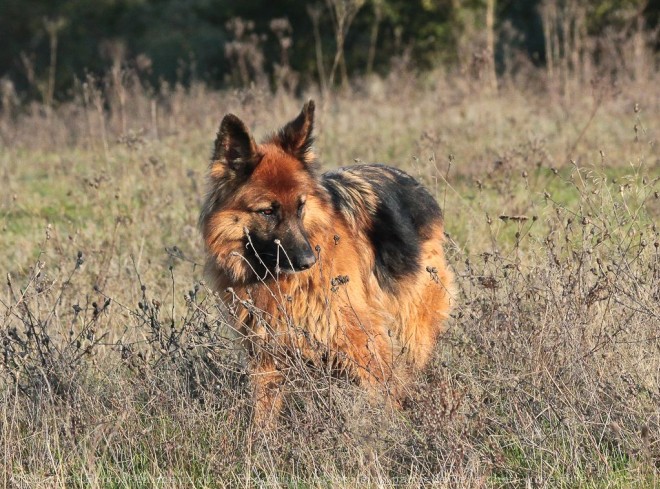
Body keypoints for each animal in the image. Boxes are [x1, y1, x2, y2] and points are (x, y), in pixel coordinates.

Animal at [199, 101, 452, 426]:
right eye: (267, 211)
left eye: (301, 206)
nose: (308, 261)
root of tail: (414, 184)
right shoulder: (266, 352)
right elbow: (264, 411)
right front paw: (260, 440)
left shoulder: (362, 339)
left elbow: (384, 393)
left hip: (412, 328)